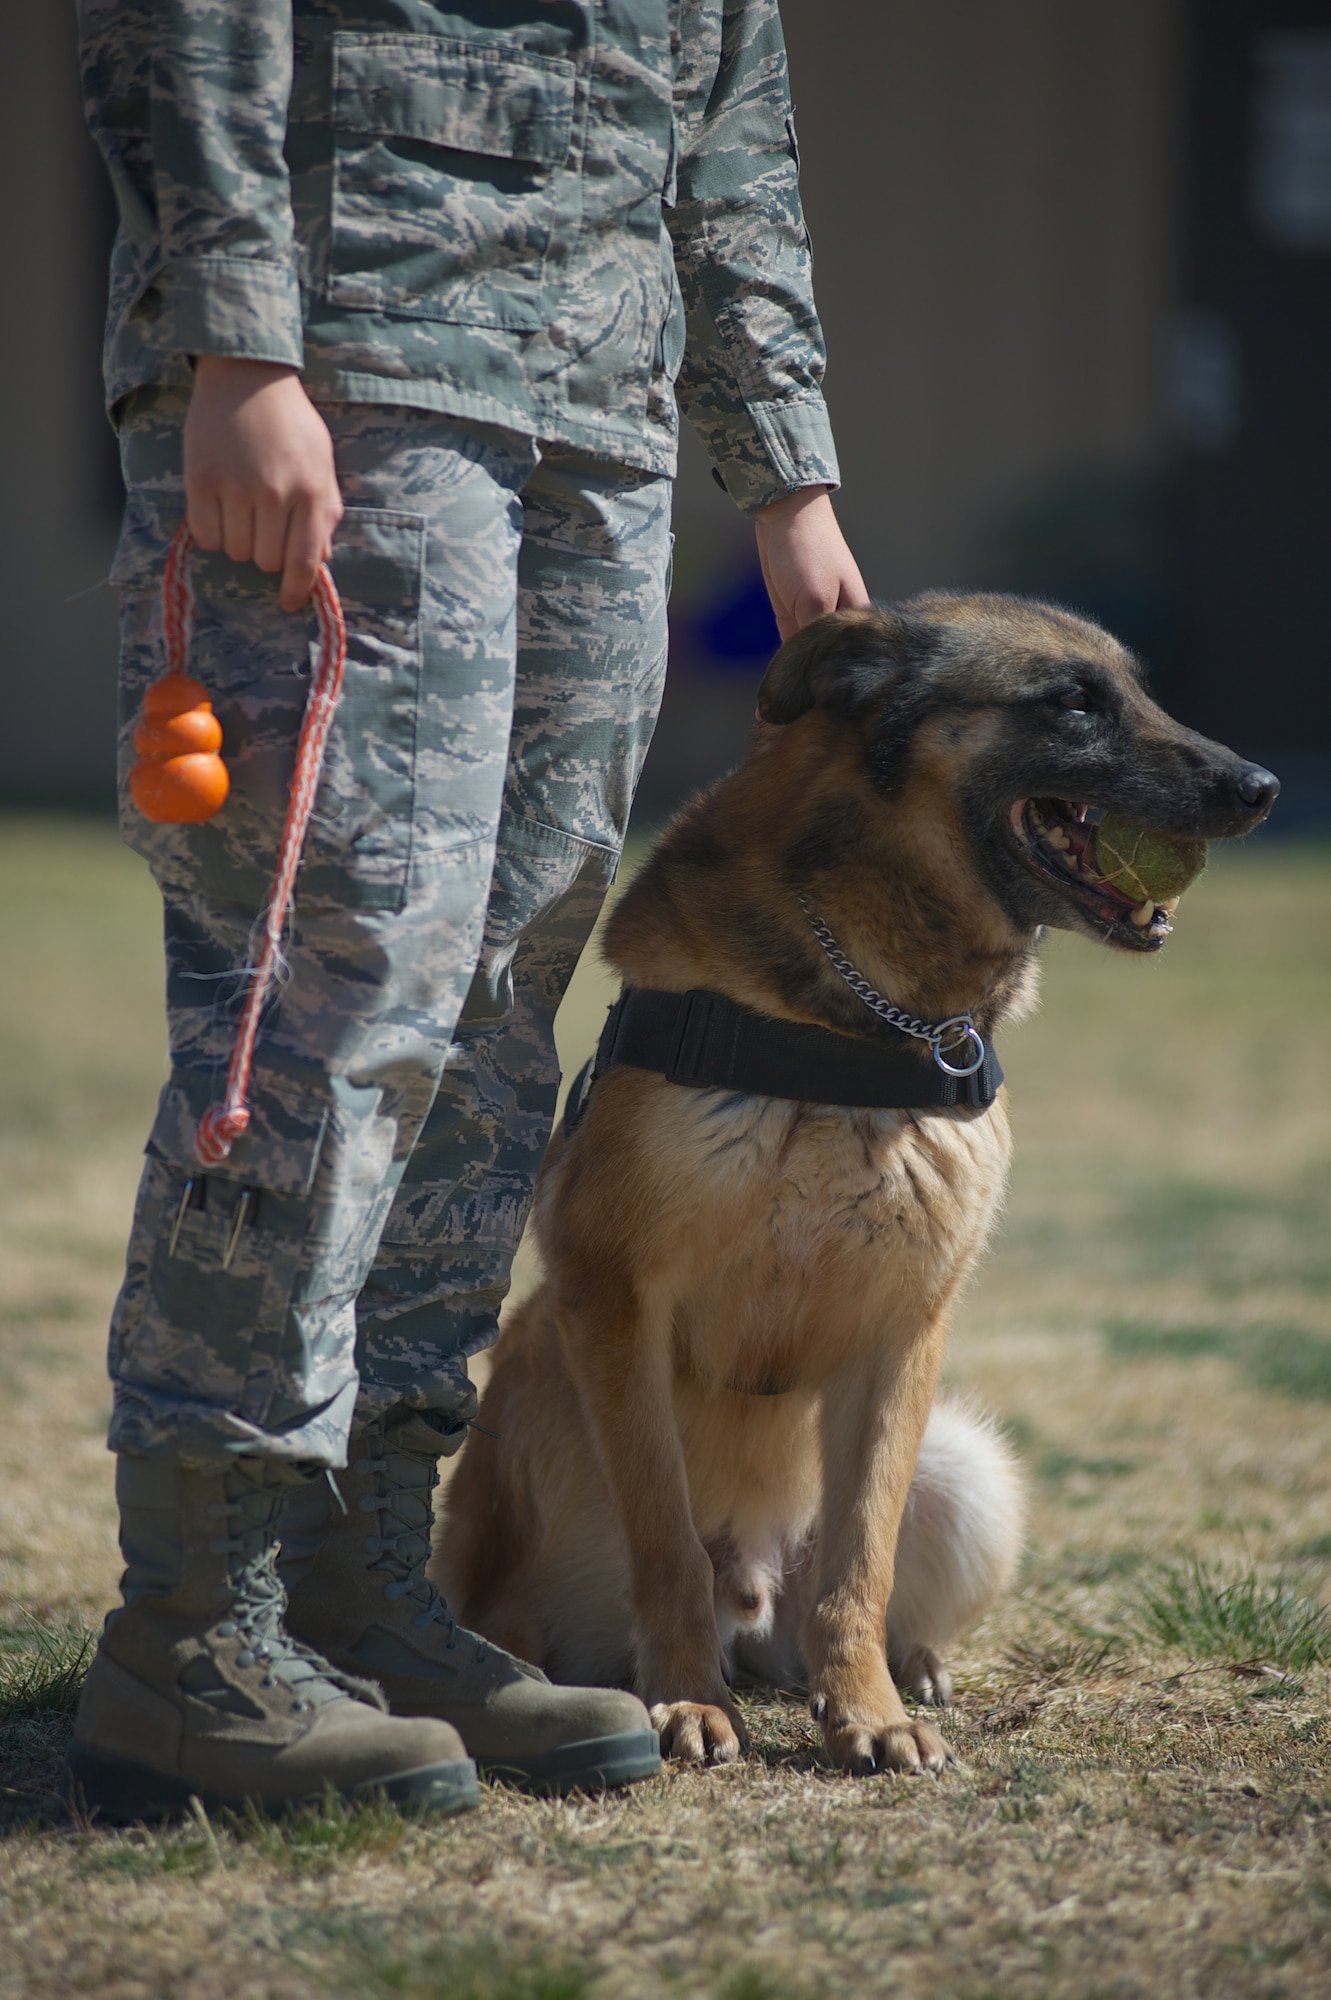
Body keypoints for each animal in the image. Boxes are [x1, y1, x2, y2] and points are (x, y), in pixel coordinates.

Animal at [435, 596, 1279, 1784]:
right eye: (1071, 703)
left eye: (1136, 692)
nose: (1261, 786)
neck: (861, 1020)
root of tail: (751, 1606)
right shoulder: (615, 1295)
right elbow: (665, 1540)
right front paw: (686, 1701)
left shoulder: (901, 1334)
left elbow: (859, 1556)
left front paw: (866, 1711)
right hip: (519, 1421)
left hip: (964, 1464)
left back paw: (904, 1668)